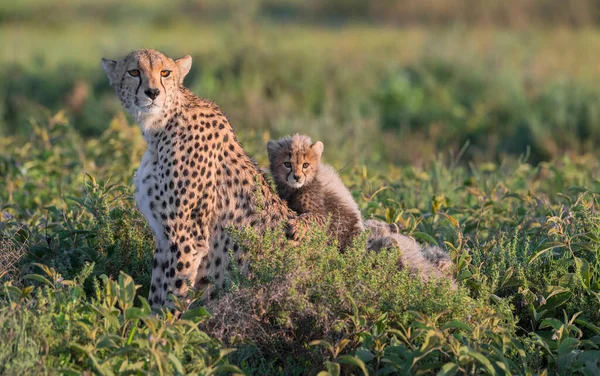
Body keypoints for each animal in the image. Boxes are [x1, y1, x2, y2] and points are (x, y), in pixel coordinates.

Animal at [103, 50, 300, 306]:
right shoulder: (164, 237)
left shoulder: (187, 237)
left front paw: (167, 317)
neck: (160, 126)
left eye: (165, 72)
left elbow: (173, 295)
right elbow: (156, 293)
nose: (153, 92)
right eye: (133, 72)